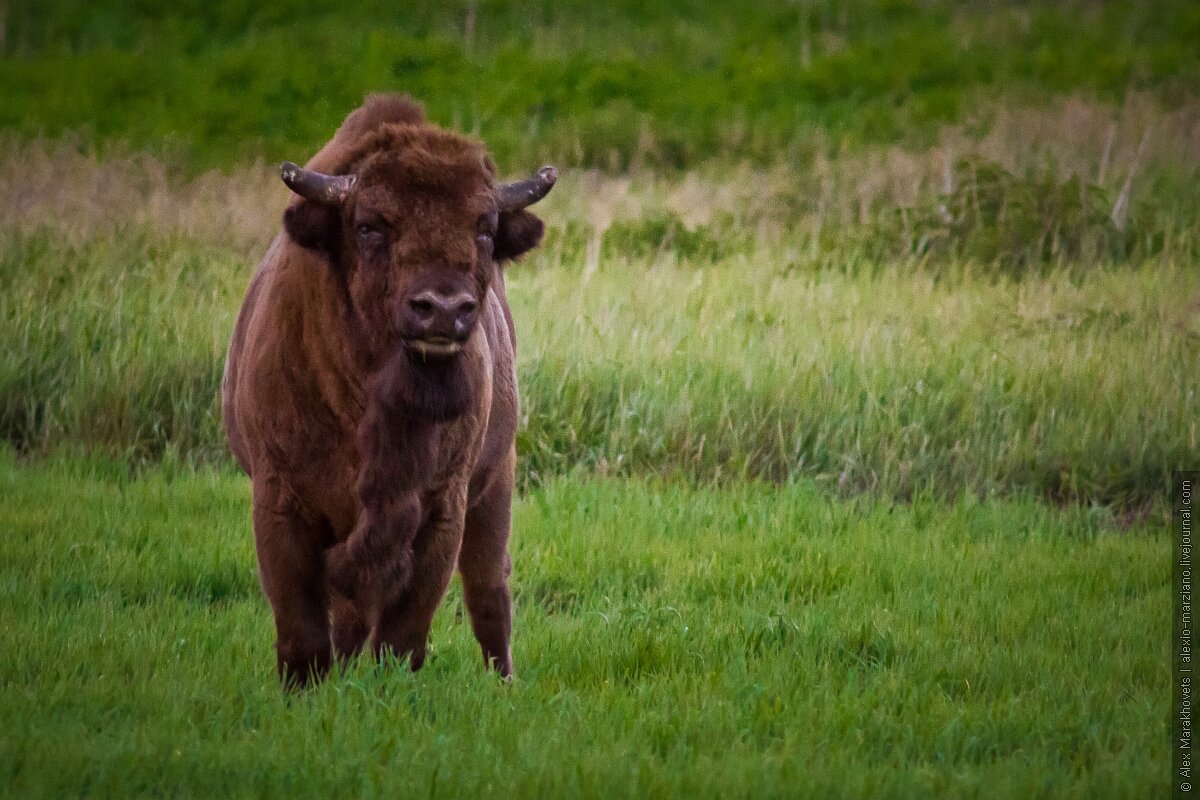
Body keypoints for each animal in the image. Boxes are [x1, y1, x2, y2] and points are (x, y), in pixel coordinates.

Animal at [222, 95, 556, 690]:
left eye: (485, 226)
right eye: (370, 225)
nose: (443, 309)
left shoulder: (441, 509)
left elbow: (403, 634)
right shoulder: (280, 501)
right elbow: (303, 632)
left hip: (496, 483)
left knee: (488, 594)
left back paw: (504, 683)